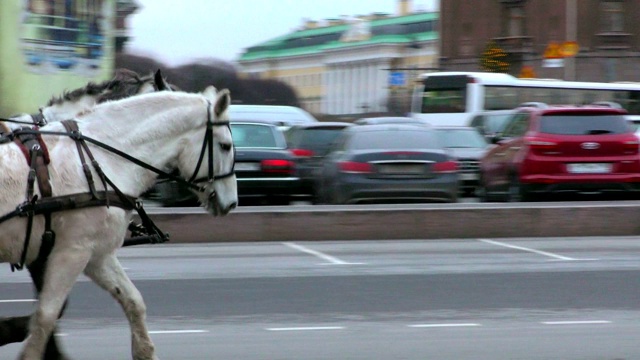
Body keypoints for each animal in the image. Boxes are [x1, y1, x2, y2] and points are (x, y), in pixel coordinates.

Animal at [0, 88, 236, 360]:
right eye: (225, 146)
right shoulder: (71, 252)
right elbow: (46, 315)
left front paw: (145, 352)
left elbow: (133, 301)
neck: (102, 157)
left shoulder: (96, 254)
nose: (232, 202)